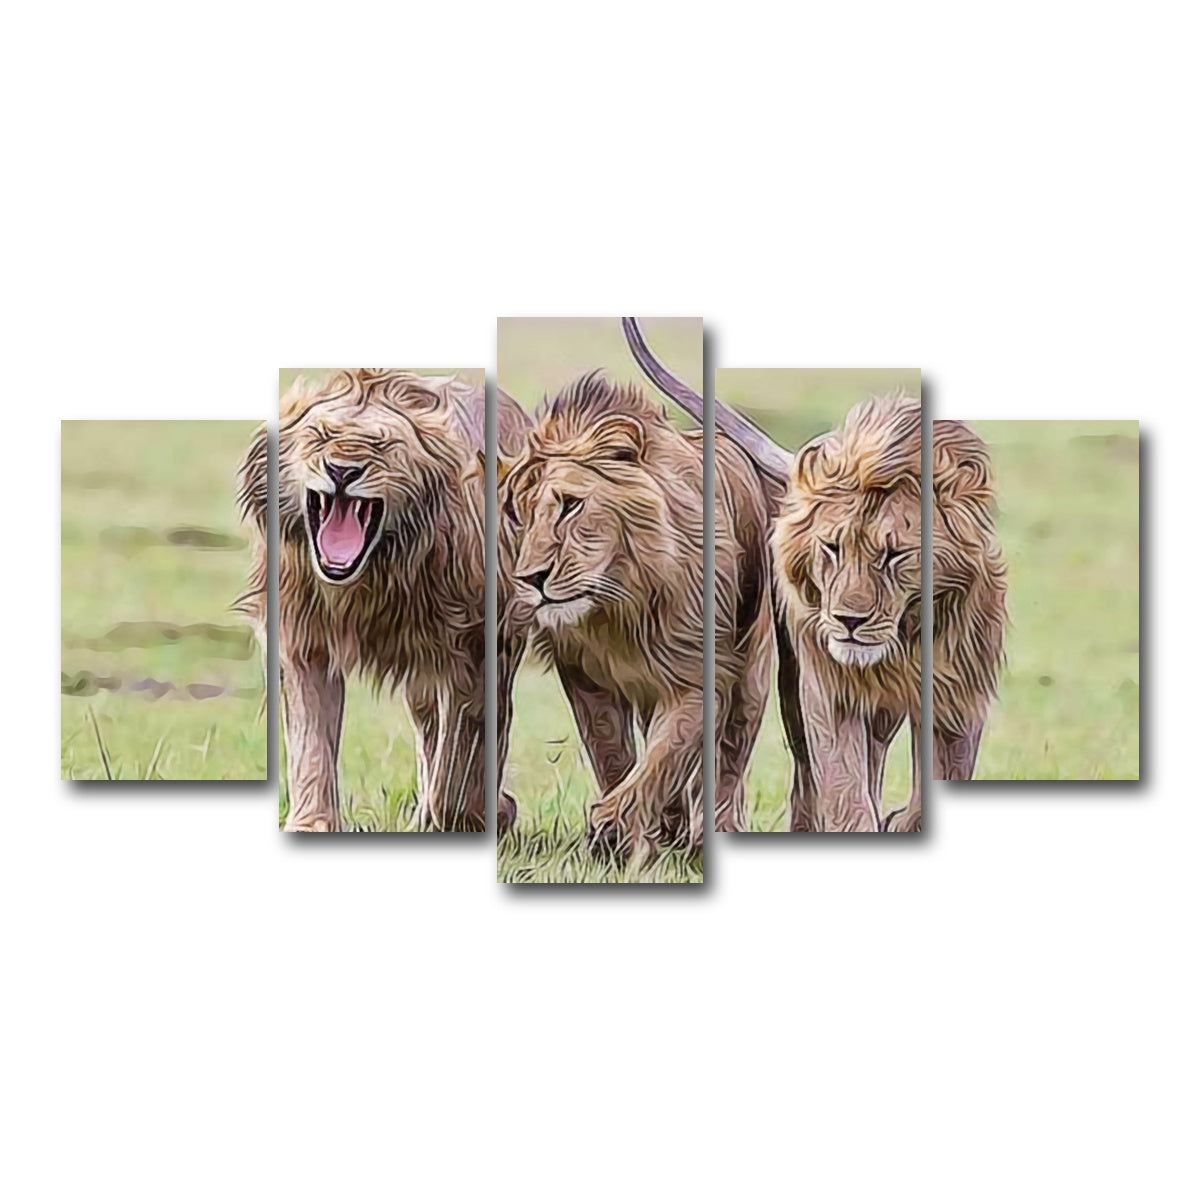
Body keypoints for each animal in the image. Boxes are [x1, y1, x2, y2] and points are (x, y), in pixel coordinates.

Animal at [236, 368, 528, 833]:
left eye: (381, 445)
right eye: (320, 436)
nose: (341, 471)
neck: (371, 577)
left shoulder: (479, 647)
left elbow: (463, 759)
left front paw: (475, 816)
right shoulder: (302, 641)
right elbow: (310, 744)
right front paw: (311, 823)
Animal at [497, 371, 772, 857]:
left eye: (570, 504)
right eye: (518, 515)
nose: (531, 578)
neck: (619, 605)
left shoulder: (699, 674)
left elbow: (667, 754)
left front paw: (612, 826)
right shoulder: (583, 676)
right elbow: (614, 755)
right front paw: (624, 833)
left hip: (752, 674)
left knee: (729, 760)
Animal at [621, 319, 1007, 833]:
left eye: (894, 554)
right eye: (832, 547)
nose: (849, 622)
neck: (905, 641)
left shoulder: (960, 696)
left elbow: (941, 776)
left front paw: (901, 820)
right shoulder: (828, 690)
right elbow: (844, 788)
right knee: (813, 770)